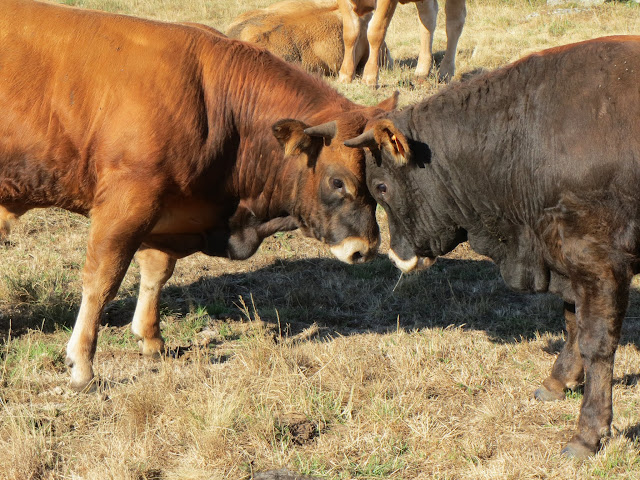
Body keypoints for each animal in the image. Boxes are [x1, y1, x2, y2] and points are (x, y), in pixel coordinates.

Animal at [338, 0, 468, 85]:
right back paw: (422, 71)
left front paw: (370, 76)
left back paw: (445, 72)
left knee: (454, 22)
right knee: (428, 17)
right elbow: (350, 33)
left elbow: (375, 32)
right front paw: (346, 74)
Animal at [344, 35, 640, 456]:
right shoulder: (562, 257)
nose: (397, 258)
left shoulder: (600, 262)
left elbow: (596, 342)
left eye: (381, 187)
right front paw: (558, 381)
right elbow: (572, 323)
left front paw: (588, 432)